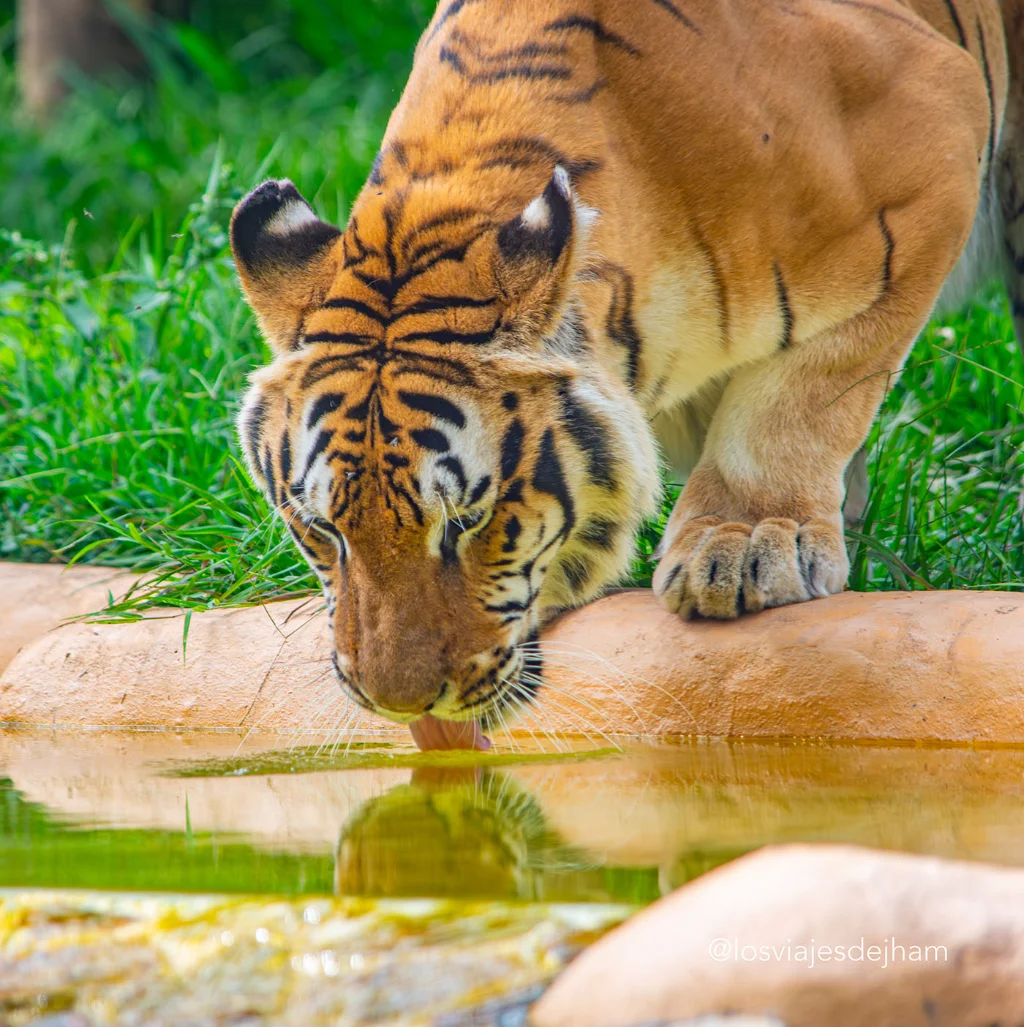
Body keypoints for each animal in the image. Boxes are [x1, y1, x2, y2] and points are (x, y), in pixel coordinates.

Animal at [231, 0, 1021, 736]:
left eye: (468, 521)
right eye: (321, 528)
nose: (401, 704)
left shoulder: (934, 134)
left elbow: (805, 393)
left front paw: (745, 545)